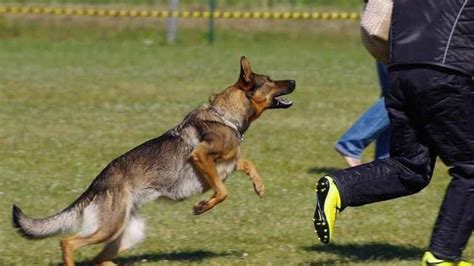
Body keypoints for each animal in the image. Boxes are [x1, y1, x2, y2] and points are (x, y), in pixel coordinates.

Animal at [11, 56, 294, 266]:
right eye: (270, 80)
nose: (293, 79)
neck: (225, 116)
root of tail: (96, 184)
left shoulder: (229, 162)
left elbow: (247, 164)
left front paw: (259, 186)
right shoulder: (201, 156)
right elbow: (222, 191)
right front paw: (202, 206)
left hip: (127, 234)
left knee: (97, 260)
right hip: (110, 227)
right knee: (68, 242)